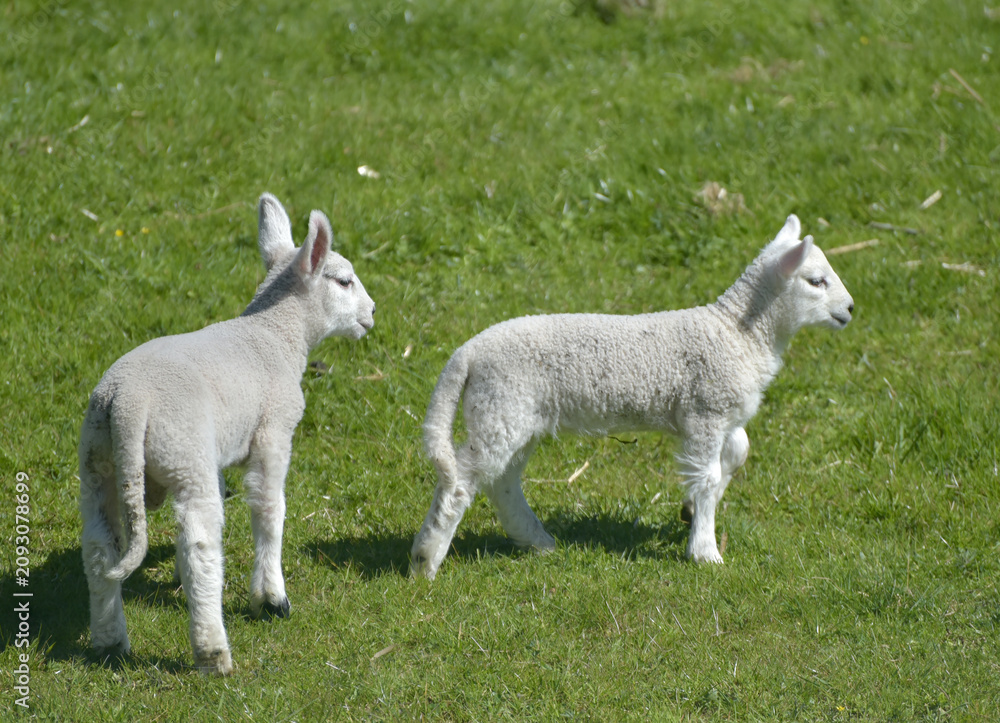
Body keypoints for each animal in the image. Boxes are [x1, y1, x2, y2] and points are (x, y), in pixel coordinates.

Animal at [79, 193, 375, 675]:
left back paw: (109, 641)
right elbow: (269, 506)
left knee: (99, 546)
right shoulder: (274, 430)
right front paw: (271, 597)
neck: (274, 335)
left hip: (99, 459)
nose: (372, 314)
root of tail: (128, 402)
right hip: (183, 451)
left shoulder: (216, 447)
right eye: (344, 281)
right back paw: (213, 652)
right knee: (198, 542)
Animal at [410, 214, 853, 580]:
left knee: (501, 482)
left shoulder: (717, 413)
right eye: (816, 281)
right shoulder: (706, 411)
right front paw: (705, 551)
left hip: (514, 415)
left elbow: (736, 453)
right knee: (461, 483)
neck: (738, 332)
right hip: (501, 407)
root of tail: (466, 353)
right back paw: (426, 560)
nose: (850, 309)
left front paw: (691, 511)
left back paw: (537, 541)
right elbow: (708, 475)